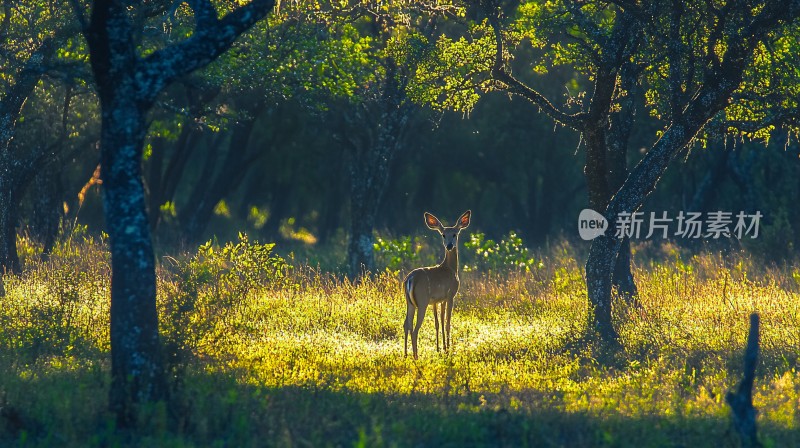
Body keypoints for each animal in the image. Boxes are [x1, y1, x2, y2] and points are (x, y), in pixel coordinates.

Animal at [404, 210, 472, 360]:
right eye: (443, 235)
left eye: (455, 234)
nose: (449, 245)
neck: (451, 269)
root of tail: (410, 279)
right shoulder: (450, 295)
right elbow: (447, 322)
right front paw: (448, 348)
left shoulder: (437, 300)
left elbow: (437, 322)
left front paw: (440, 348)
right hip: (422, 300)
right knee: (415, 329)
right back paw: (416, 356)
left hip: (409, 302)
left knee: (406, 325)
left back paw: (405, 355)